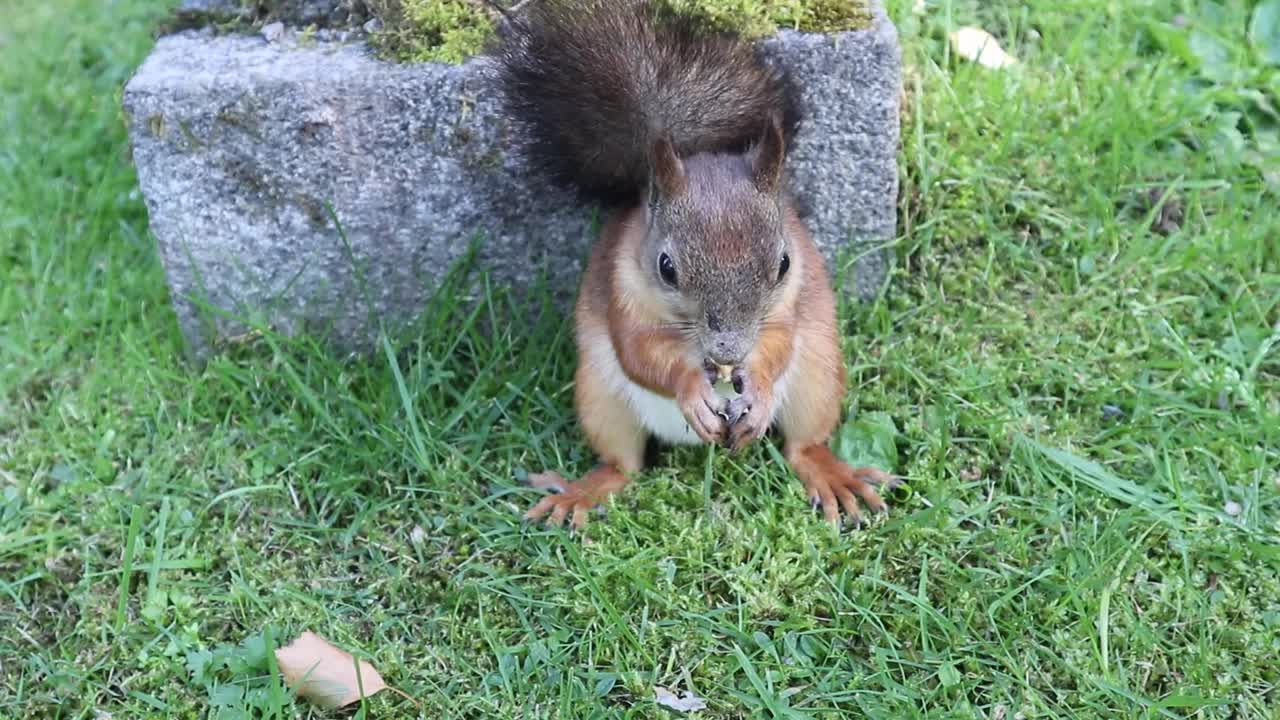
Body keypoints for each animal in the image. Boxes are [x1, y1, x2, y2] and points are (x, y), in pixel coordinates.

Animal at [488, 0, 901, 527]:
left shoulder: (788, 308)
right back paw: (584, 492)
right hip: (599, 398)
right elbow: (641, 354)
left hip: (819, 377)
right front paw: (689, 386)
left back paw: (832, 475)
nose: (728, 352)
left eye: (784, 264)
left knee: (803, 446)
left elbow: (778, 345)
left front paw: (758, 386)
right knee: (623, 464)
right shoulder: (623, 293)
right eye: (666, 267)